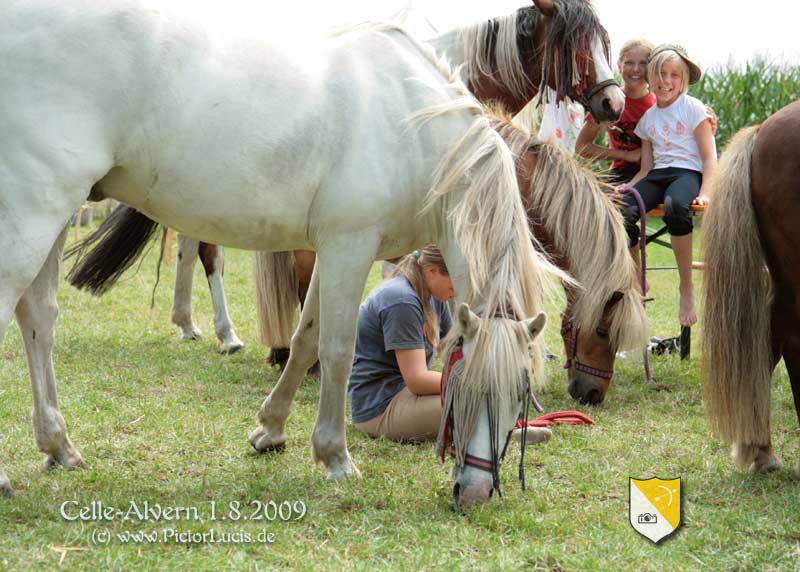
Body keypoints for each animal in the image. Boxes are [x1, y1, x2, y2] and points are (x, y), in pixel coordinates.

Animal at [0, 2, 552, 508]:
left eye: (520, 393)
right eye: (465, 385)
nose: (475, 491)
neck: (413, 122)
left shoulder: (332, 249)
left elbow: (305, 338)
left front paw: (271, 429)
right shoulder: (351, 246)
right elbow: (337, 348)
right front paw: (335, 456)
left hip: (54, 213)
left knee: (39, 319)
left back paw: (59, 446)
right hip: (34, 210)